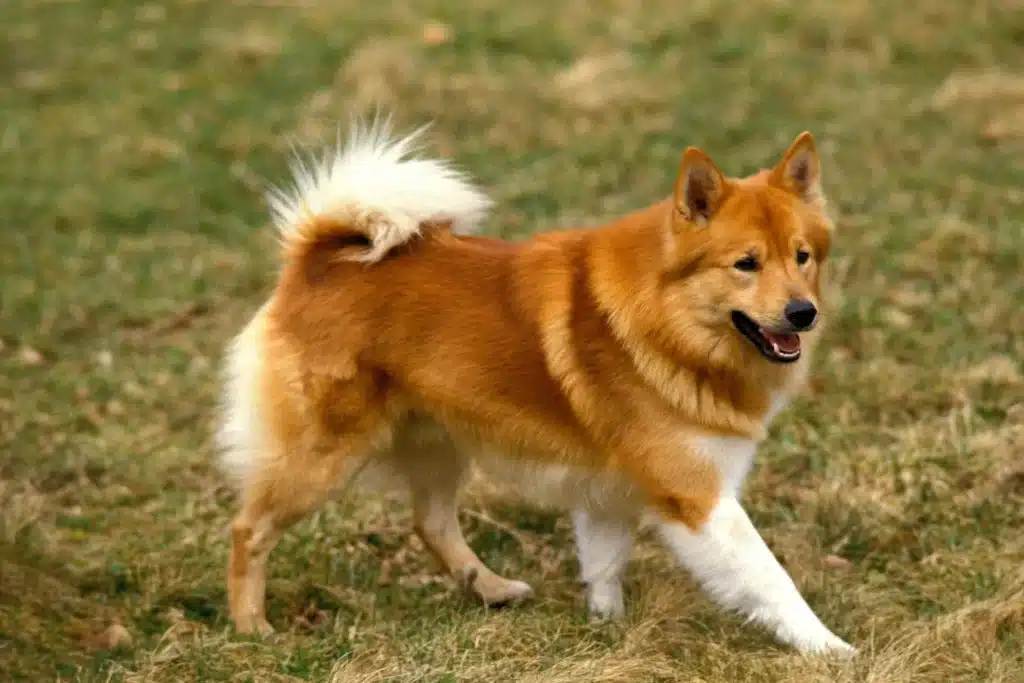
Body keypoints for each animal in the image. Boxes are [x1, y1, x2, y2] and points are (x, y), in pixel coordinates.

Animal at [216, 117, 856, 655]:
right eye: (746, 264)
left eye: (802, 257)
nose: (803, 314)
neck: (666, 319)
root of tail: (317, 255)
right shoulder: (700, 498)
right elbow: (769, 579)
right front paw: (828, 647)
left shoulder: (608, 488)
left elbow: (604, 565)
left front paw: (606, 629)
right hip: (321, 456)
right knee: (249, 530)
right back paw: (252, 628)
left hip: (437, 439)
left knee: (431, 523)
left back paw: (493, 589)